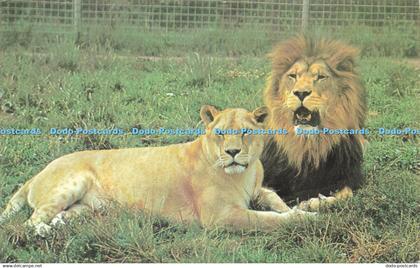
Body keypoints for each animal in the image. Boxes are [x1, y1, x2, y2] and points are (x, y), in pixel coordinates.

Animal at [0, 105, 312, 236]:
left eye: (246, 133)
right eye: (221, 134)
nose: (233, 153)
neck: (243, 173)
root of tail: (37, 174)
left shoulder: (257, 190)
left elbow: (273, 199)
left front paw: (301, 207)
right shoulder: (221, 217)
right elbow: (267, 220)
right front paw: (303, 217)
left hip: (83, 208)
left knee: (57, 217)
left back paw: (60, 227)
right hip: (69, 185)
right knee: (29, 223)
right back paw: (43, 233)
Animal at [262, 35, 368, 209]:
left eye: (320, 77)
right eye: (293, 76)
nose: (301, 93)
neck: (308, 144)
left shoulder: (346, 177)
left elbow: (346, 194)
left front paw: (311, 203)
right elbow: (269, 194)